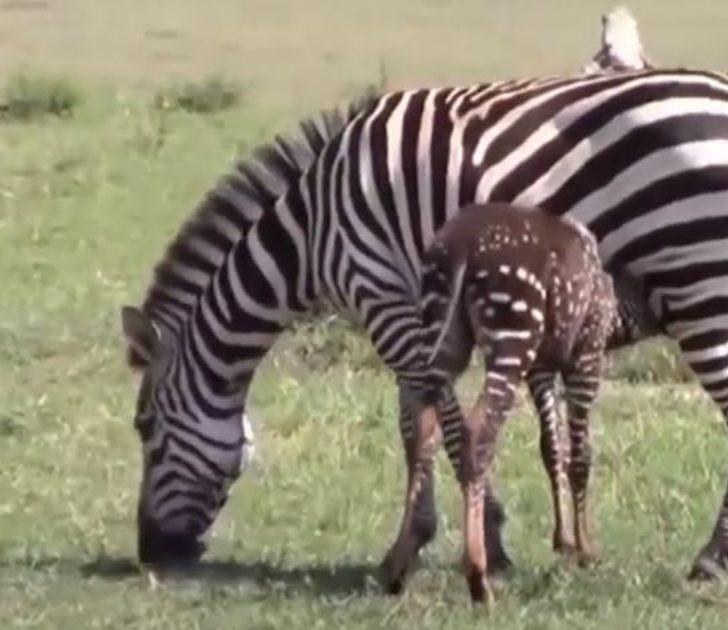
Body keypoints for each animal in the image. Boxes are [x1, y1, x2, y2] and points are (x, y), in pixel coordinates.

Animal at [122, 69, 728, 586]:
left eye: (146, 428)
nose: (150, 553)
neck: (311, 230)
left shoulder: (378, 292)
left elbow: (431, 424)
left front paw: (465, 542)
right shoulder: (408, 304)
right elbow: (420, 422)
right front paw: (446, 538)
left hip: (699, 283)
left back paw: (709, 561)